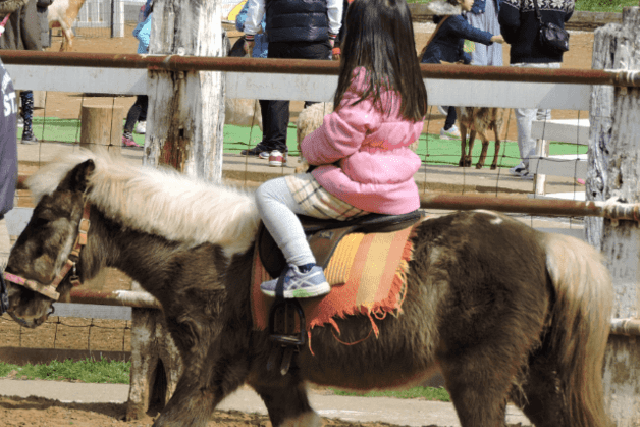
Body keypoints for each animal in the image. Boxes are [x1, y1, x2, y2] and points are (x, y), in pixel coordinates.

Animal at [5, 150, 612, 427]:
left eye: (45, 219)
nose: (14, 298)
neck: (213, 252)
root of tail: (548, 245)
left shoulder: (203, 376)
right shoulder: (278, 384)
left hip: (480, 382)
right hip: (538, 382)